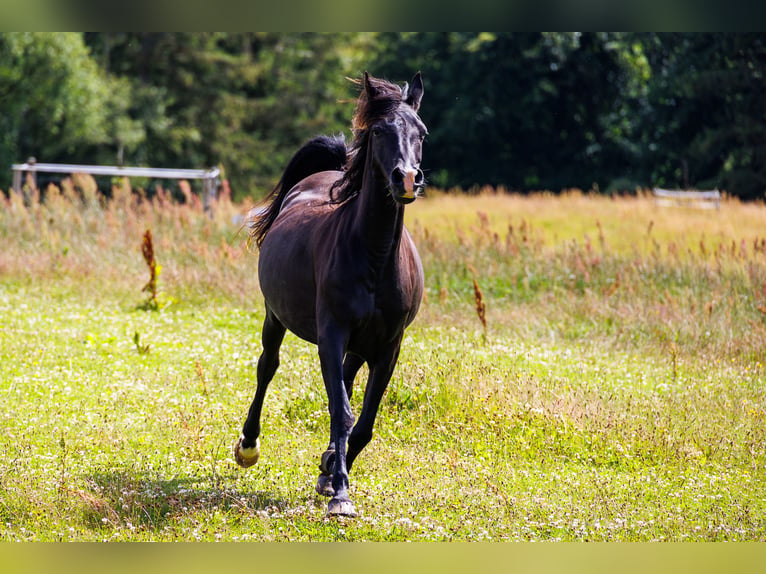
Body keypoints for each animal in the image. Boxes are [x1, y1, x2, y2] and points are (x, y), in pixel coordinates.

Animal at [236, 72, 426, 516]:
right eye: (379, 131)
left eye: (422, 132)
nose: (407, 179)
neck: (375, 257)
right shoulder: (332, 334)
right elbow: (341, 411)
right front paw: (340, 493)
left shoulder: (389, 347)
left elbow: (364, 420)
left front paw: (330, 473)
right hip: (275, 317)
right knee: (267, 367)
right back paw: (248, 445)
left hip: (361, 344)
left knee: (348, 379)